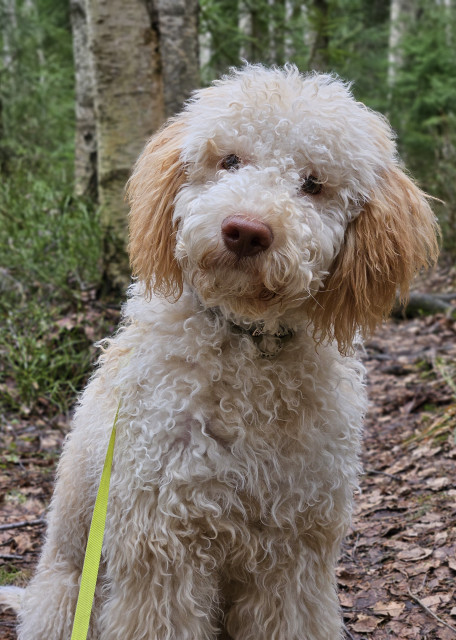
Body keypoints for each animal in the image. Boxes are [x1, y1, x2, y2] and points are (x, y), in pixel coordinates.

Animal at [1, 64, 438, 639]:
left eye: (313, 183)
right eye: (229, 160)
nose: (246, 231)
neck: (247, 348)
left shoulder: (294, 551)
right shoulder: (161, 547)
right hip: (66, 593)